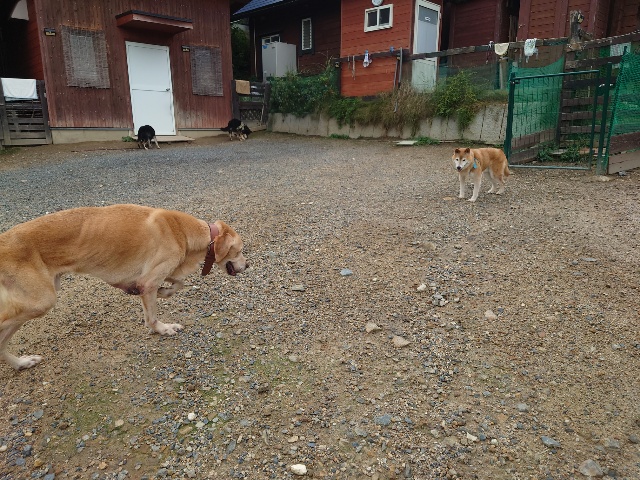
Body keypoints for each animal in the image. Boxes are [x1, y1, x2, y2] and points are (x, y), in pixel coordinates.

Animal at [0, 204, 248, 371]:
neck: (181, 230)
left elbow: (179, 283)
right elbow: (153, 317)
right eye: (240, 250)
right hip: (41, 301)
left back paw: (21, 363)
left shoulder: (155, 277)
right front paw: (163, 328)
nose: (248, 265)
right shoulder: (148, 282)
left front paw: (165, 292)